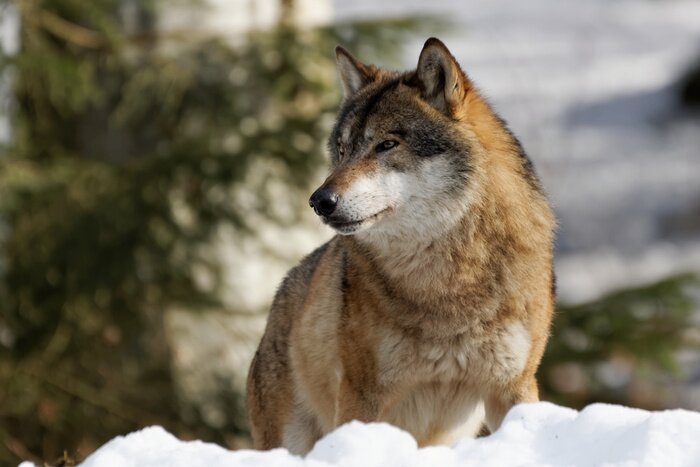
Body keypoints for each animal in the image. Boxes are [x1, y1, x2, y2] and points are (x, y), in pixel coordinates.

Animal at [246, 37, 555, 454]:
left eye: (387, 144)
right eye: (342, 150)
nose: (319, 201)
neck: (449, 280)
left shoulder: (514, 386)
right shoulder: (362, 395)